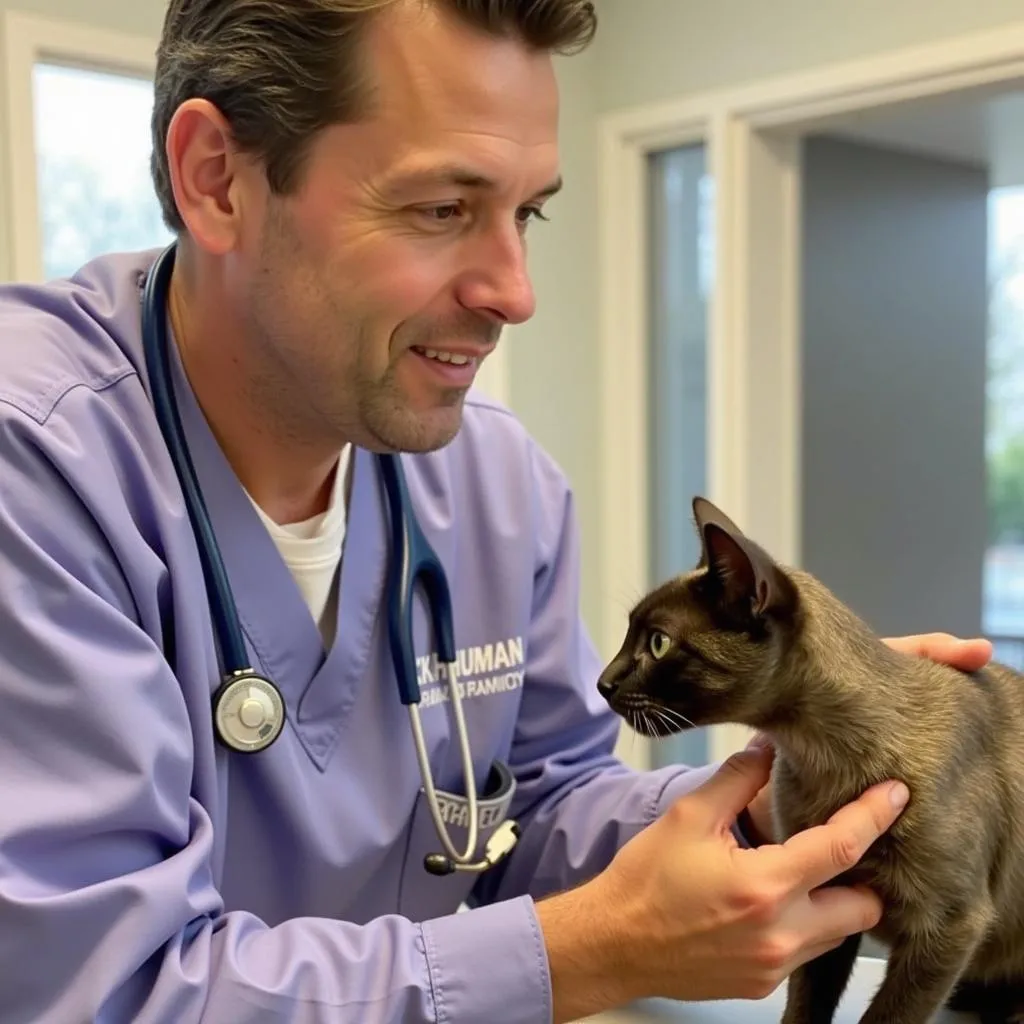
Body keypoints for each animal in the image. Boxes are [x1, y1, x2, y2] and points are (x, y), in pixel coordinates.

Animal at [598, 495, 1024, 1024]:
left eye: (658, 643)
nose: (602, 682)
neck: (819, 761)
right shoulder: (820, 900)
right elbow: (806, 1000)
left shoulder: (948, 926)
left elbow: (888, 1016)